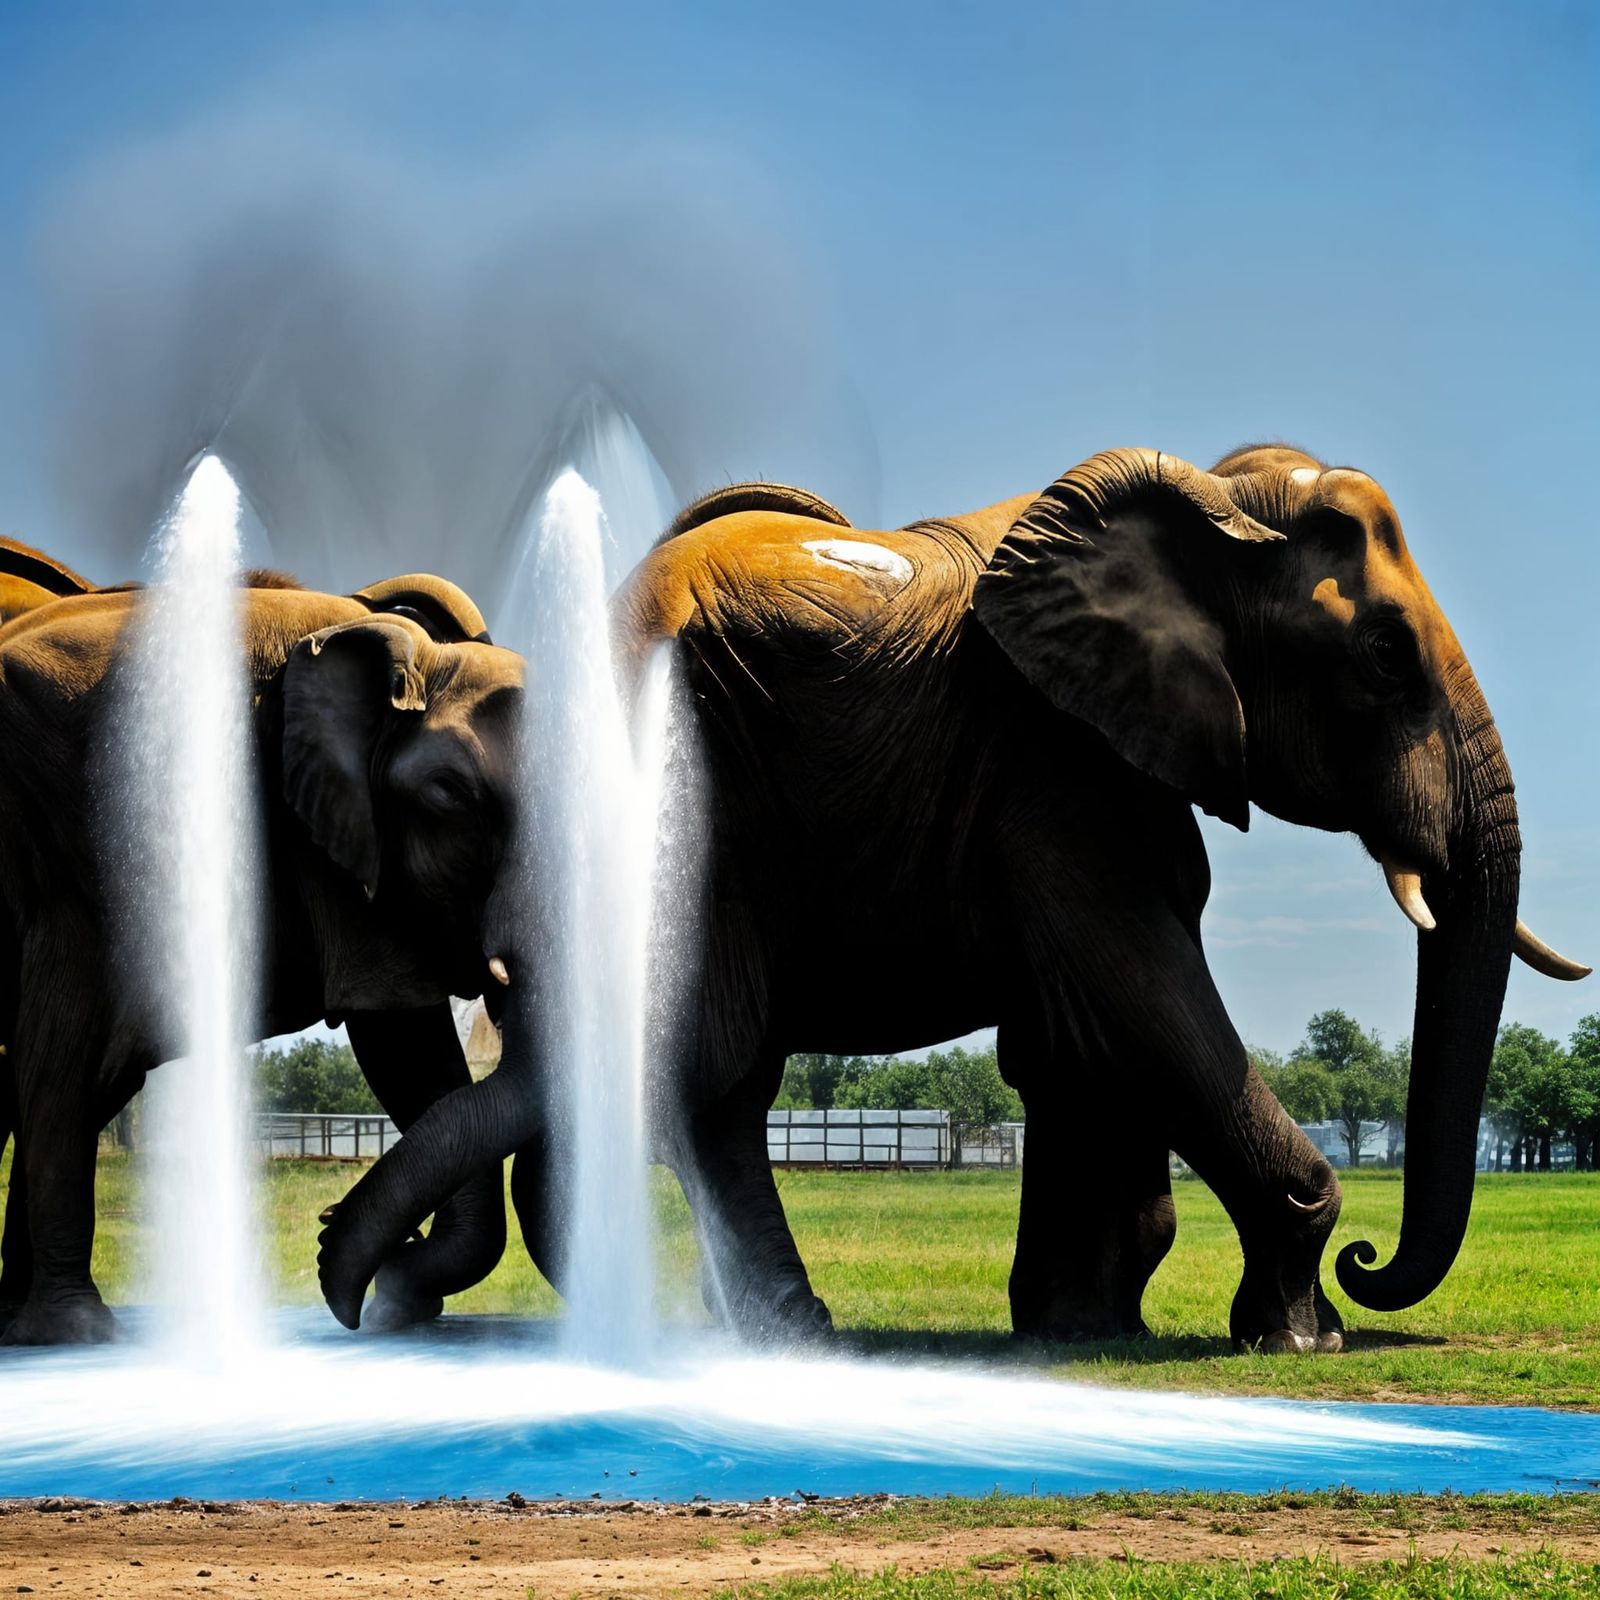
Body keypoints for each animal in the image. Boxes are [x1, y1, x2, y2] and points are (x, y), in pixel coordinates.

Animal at [0, 543, 524, 1343]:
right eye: (450, 797)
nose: (329, 1220)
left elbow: (414, 1054)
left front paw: (401, 1299)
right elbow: (399, 1036)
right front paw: (74, 1334)